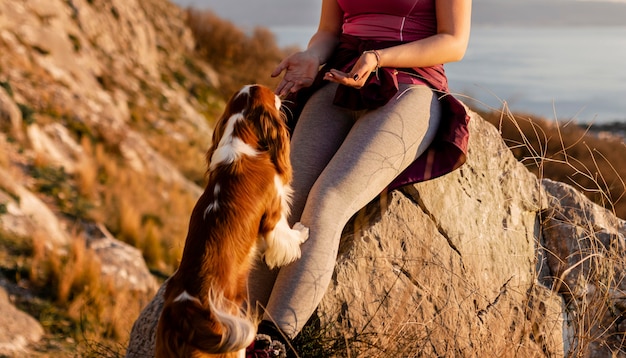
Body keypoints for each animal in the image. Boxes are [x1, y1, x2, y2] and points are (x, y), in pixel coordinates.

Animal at [155, 84, 308, 358]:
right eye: (272, 96)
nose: (281, 95)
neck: (241, 141)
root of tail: (183, 315)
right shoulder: (273, 213)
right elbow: (285, 236)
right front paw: (301, 233)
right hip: (233, 339)